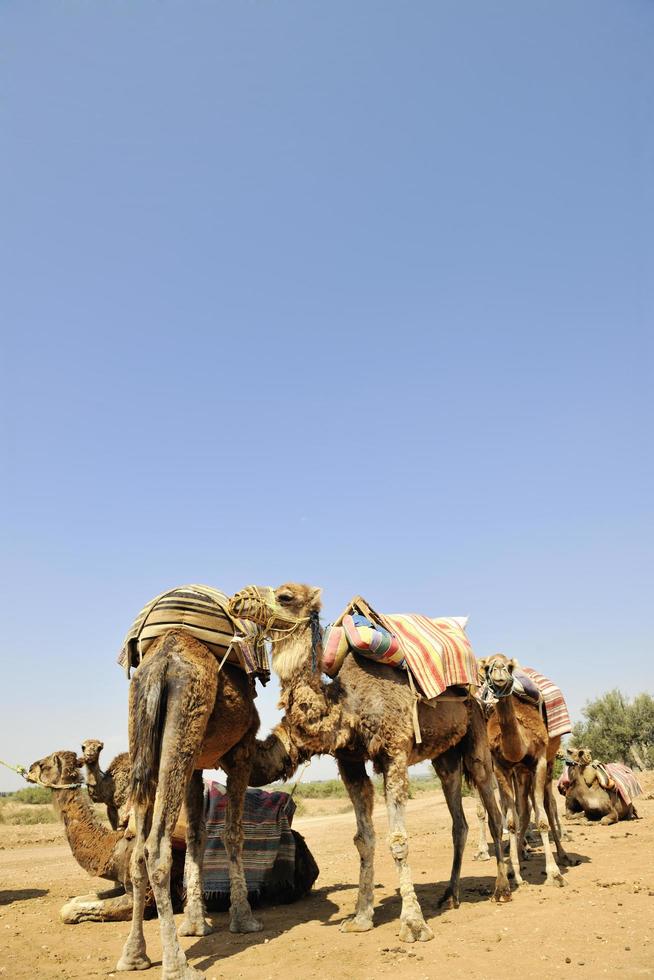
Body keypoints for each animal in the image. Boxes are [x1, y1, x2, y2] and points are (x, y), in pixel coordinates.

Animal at [233, 580, 516, 944]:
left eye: (285, 596)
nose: (239, 599)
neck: (345, 706)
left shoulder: (394, 751)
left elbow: (398, 839)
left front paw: (413, 924)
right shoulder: (350, 762)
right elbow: (363, 840)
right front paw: (360, 917)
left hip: (476, 734)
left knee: (491, 804)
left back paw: (502, 889)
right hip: (445, 756)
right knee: (458, 817)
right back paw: (450, 894)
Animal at [480, 652, 572, 888]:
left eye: (510, 666)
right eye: (486, 667)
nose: (499, 672)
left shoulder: (539, 761)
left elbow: (542, 818)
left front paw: (554, 873)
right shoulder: (501, 766)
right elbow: (512, 820)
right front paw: (513, 871)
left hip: (548, 762)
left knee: (548, 805)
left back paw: (563, 855)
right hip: (520, 772)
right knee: (522, 808)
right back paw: (518, 860)